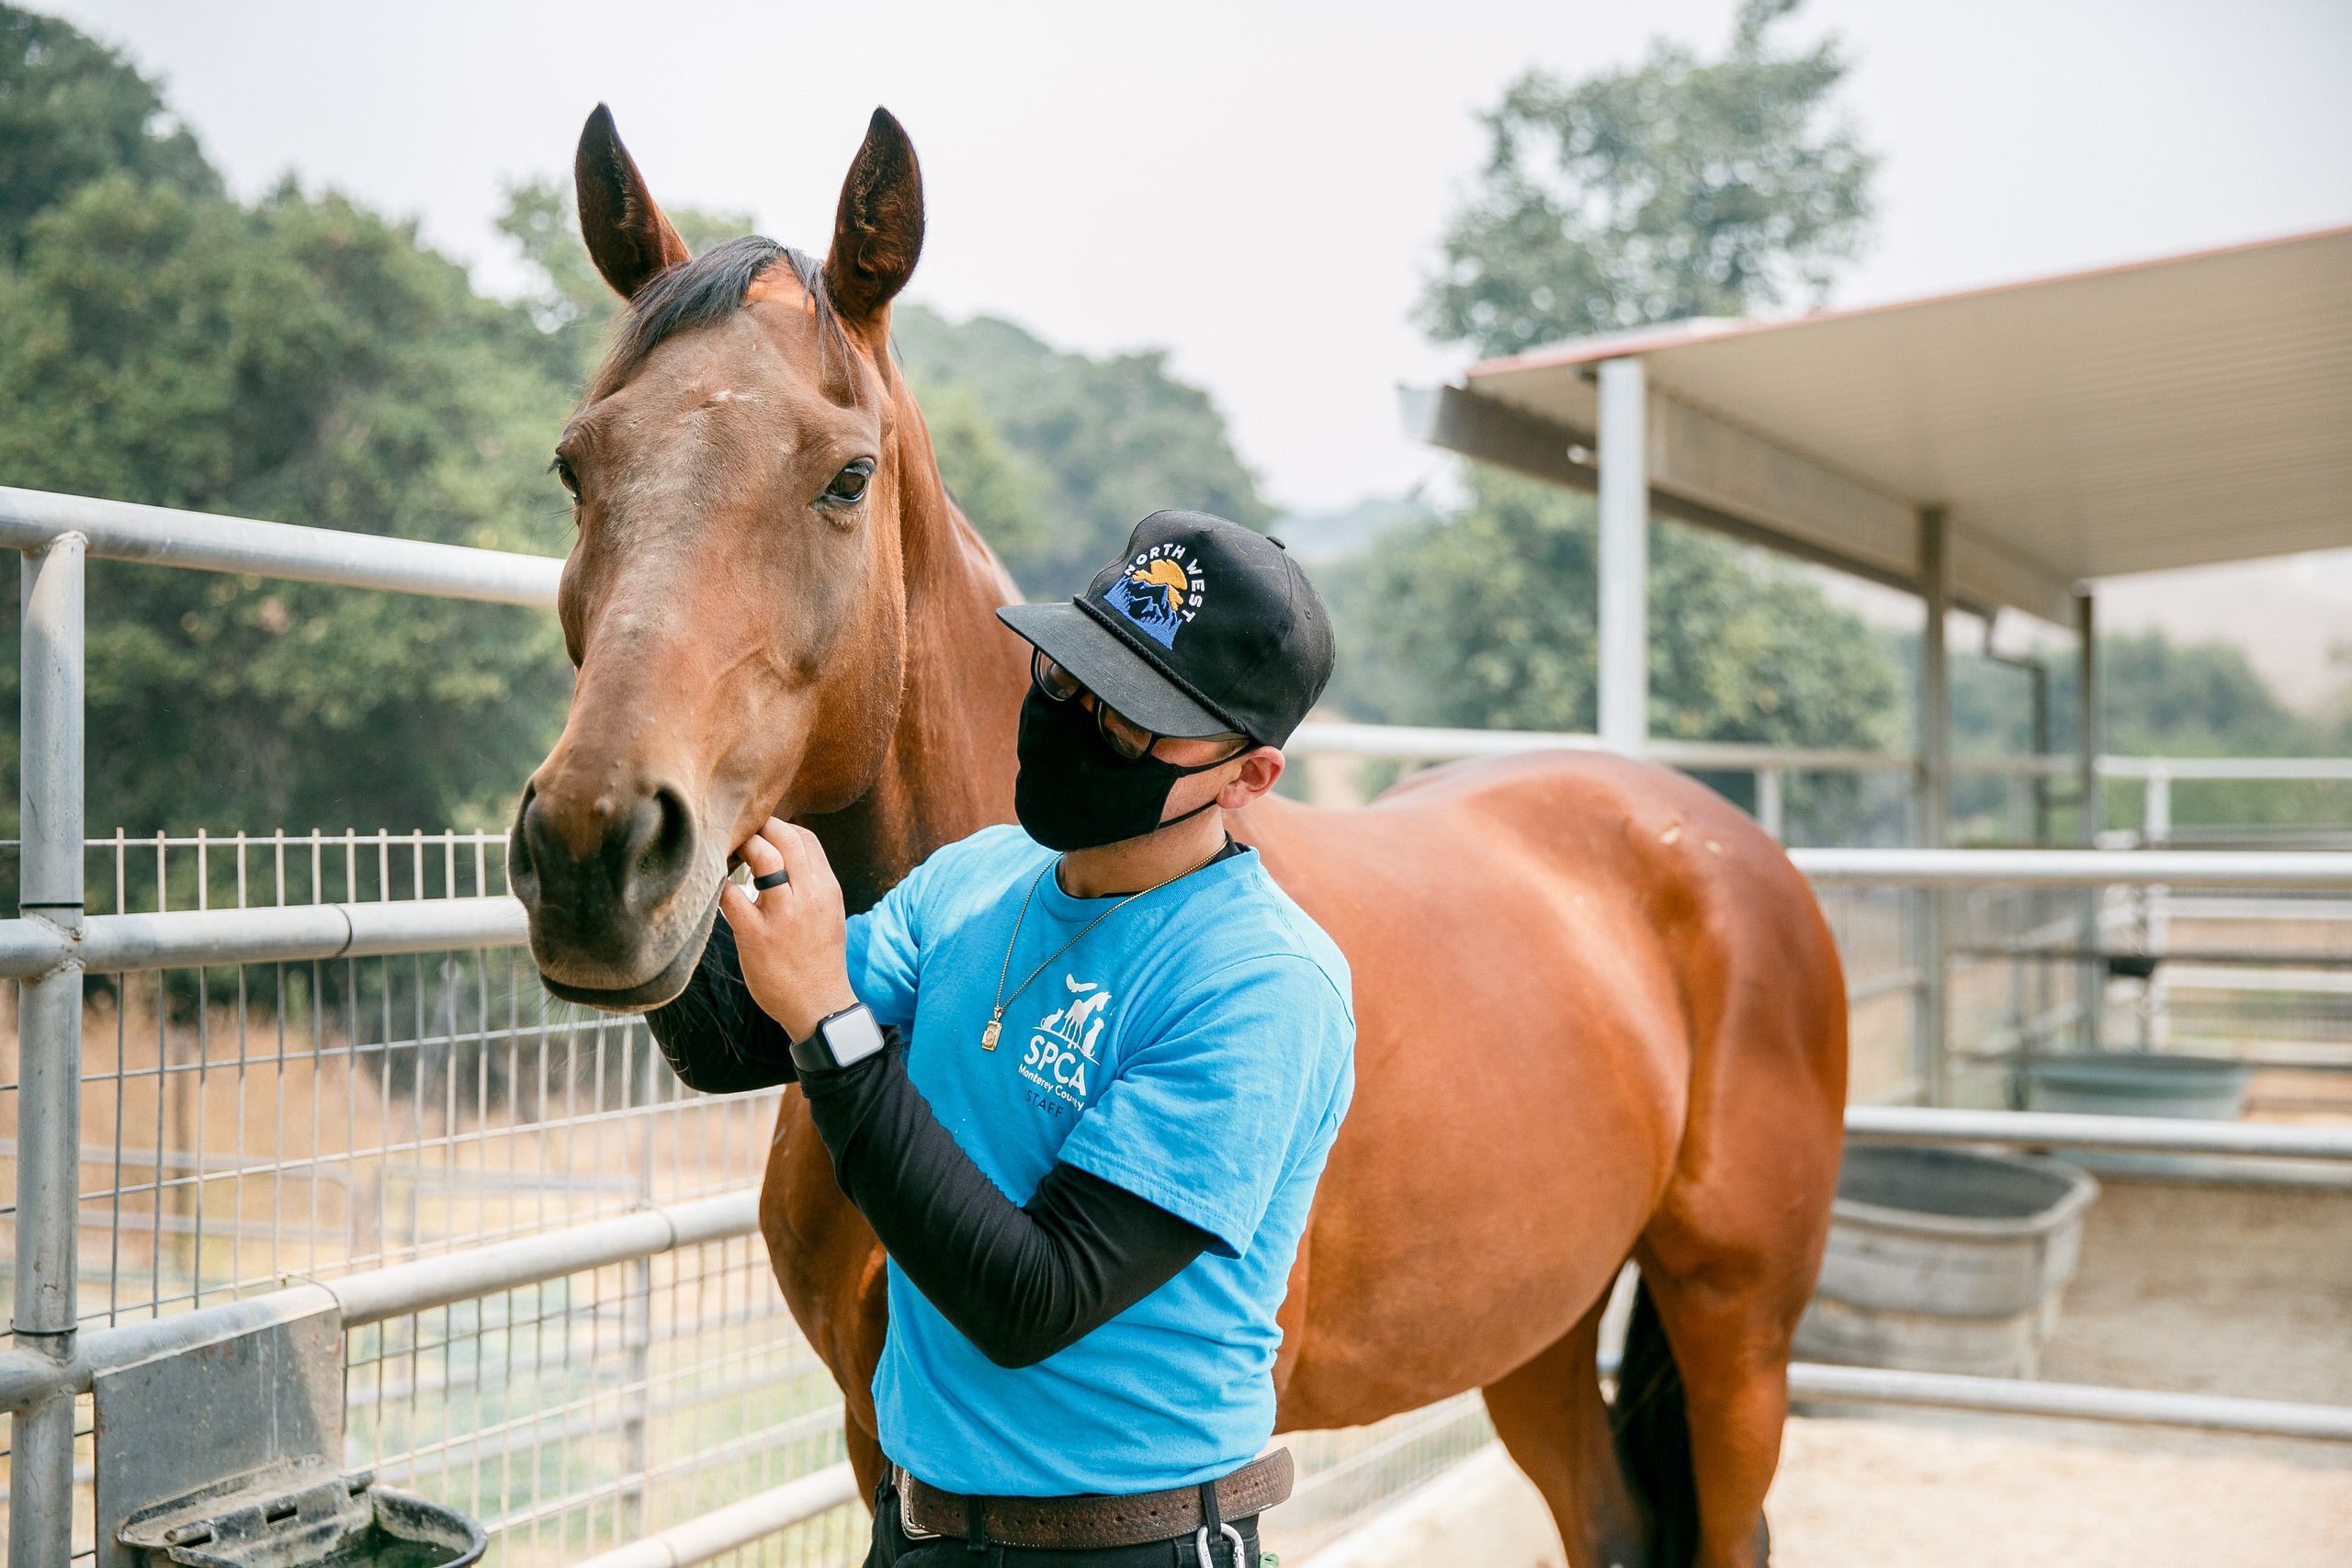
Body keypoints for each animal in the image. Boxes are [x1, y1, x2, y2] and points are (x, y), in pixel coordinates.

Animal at [514, 104, 1853, 1561]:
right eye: (577, 465)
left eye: (846, 476)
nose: (592, 848)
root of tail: (1719, 846)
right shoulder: (877, 1439)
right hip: (1540, 1325)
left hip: (1736, 1333)